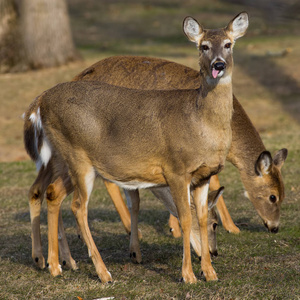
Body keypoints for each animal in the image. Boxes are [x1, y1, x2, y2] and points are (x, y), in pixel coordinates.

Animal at [23, 12, 250, 284]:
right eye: (203, 46)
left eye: (228, 44)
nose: (218, 65)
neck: (200, 123)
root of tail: (41, 99)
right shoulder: (175, 170)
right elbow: (185, 218)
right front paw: (188, 275)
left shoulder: (203, 176)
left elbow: (201, 215)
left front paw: (210, 272)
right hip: (76, 157)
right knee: (77, 206)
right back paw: (102, 272)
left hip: (68, 161)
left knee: (52, 193)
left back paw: (57, 264)